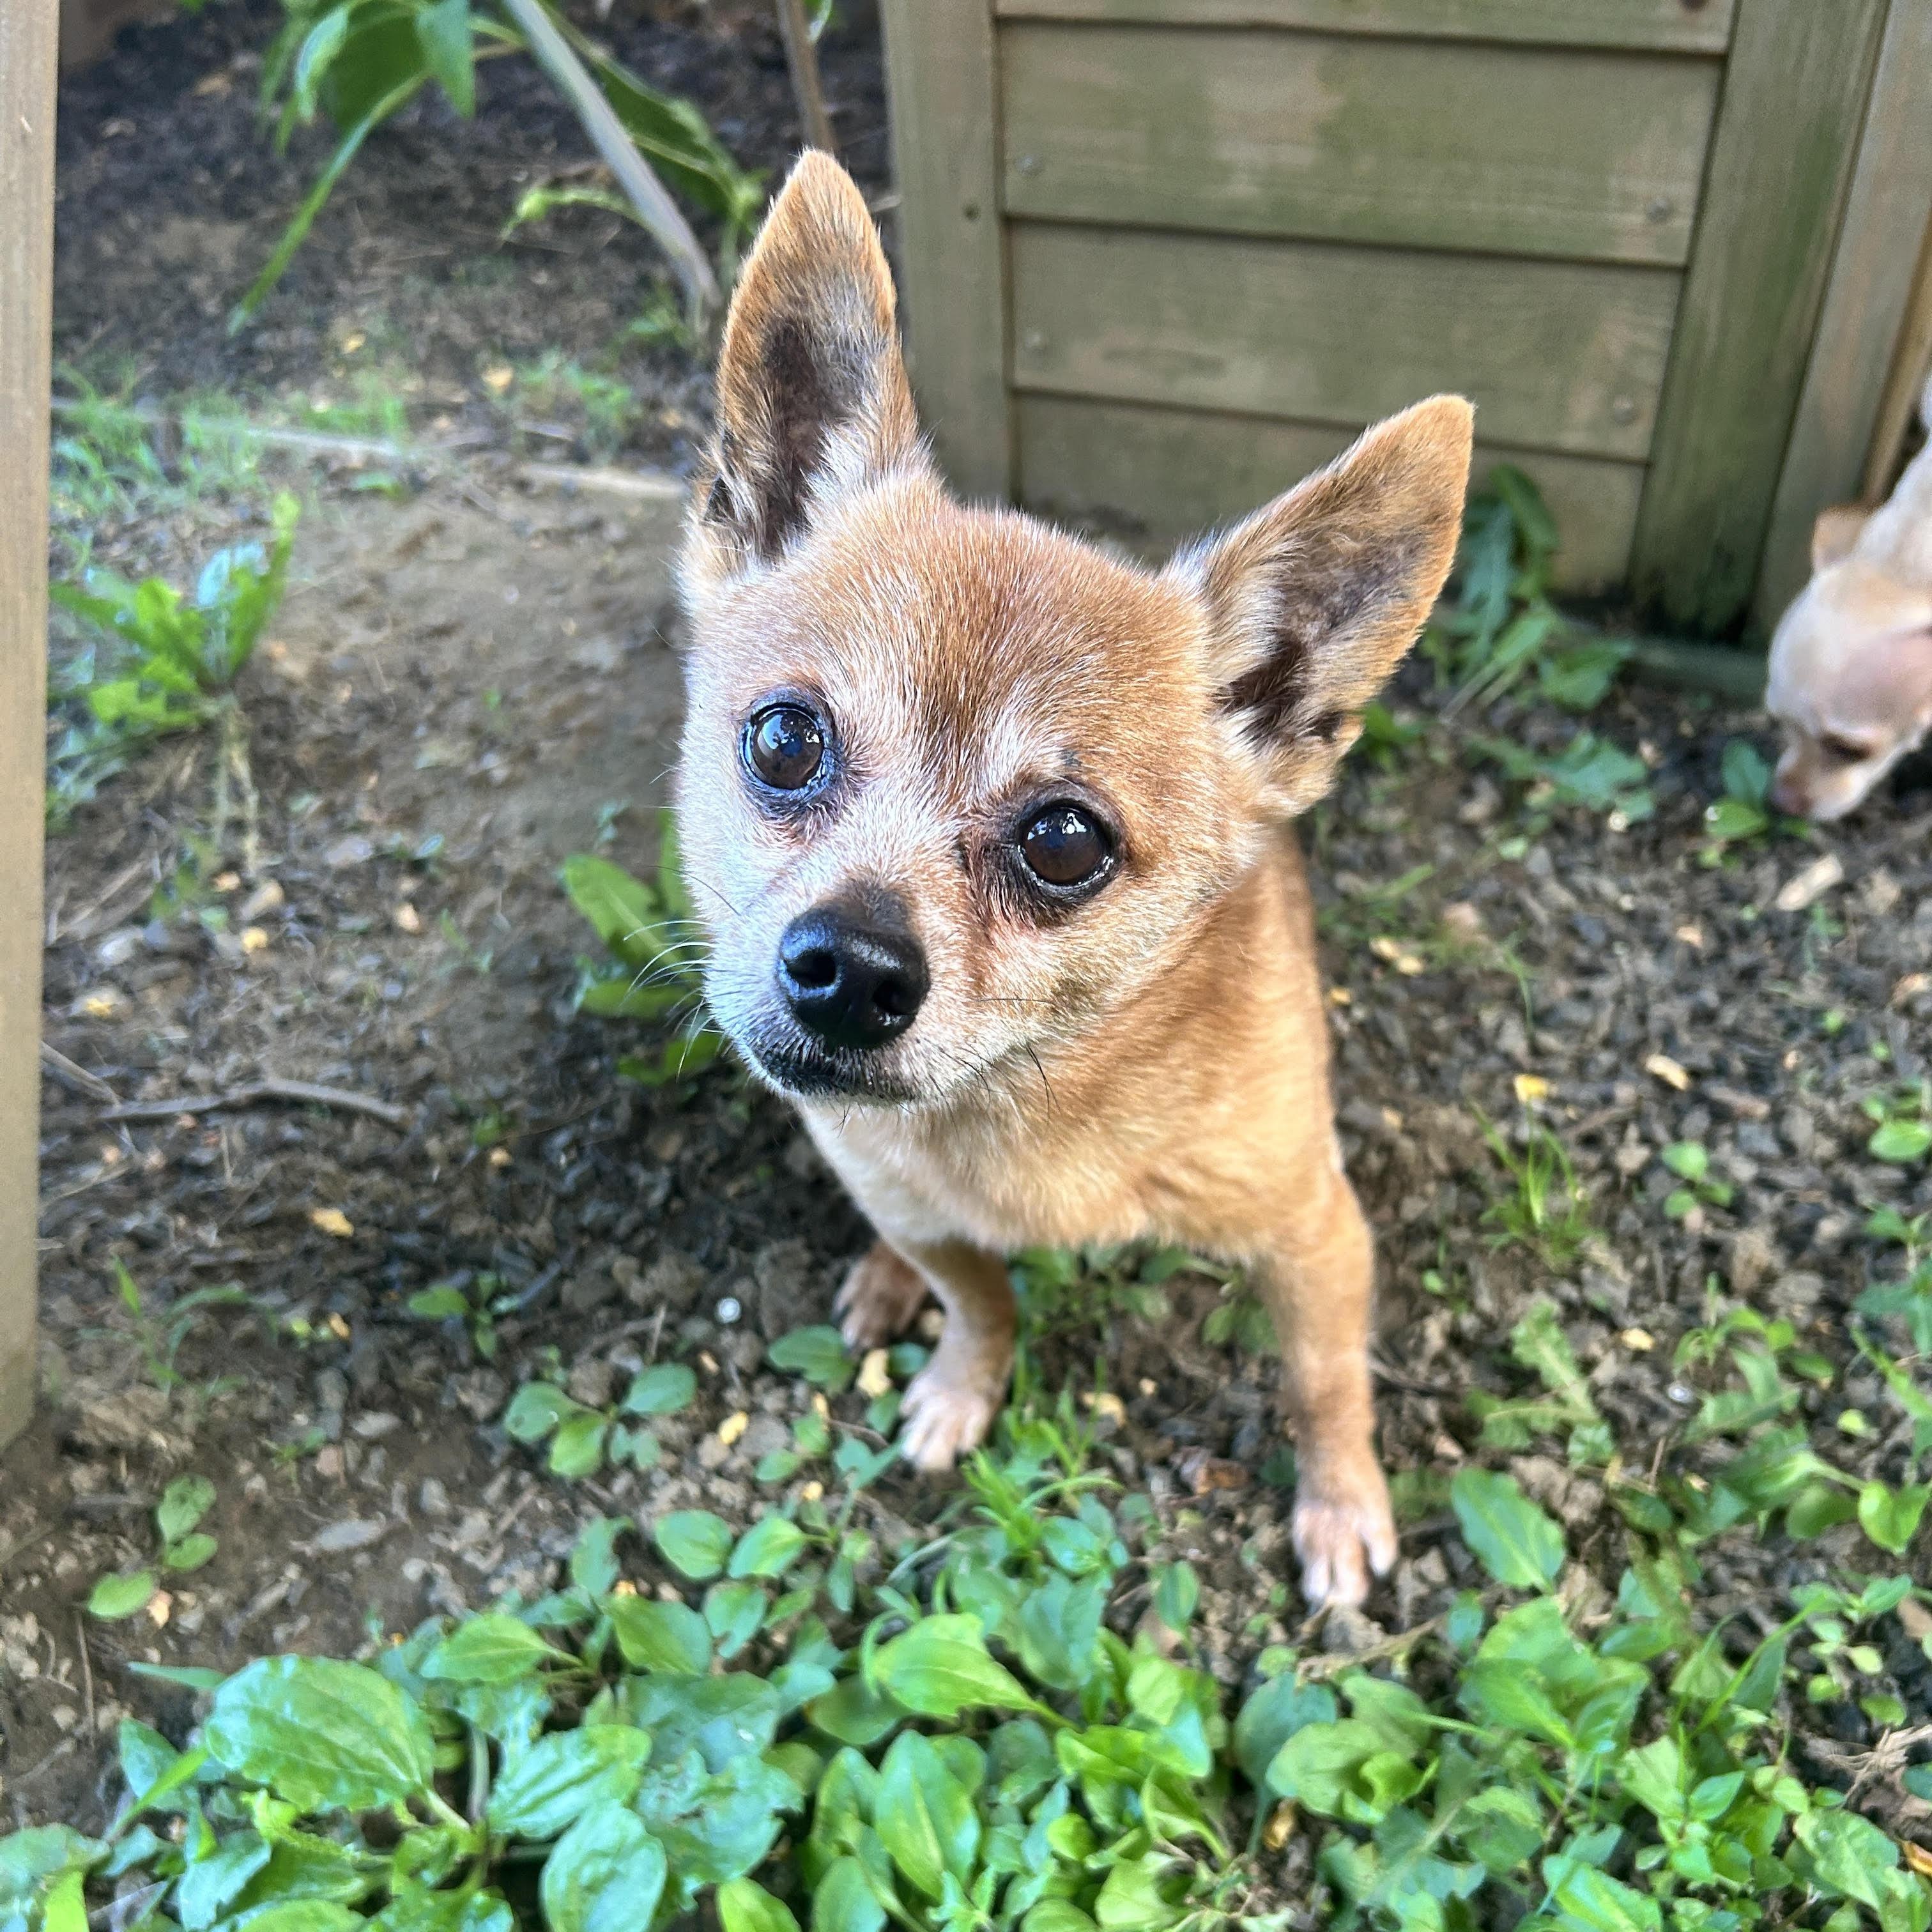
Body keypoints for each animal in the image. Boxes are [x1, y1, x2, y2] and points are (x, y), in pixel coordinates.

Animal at [673, 153, 1472, 1607]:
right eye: (783, 740)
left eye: (1064, 840)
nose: (849, 968)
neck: (1023, 1105)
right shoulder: (915, 1204)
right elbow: (979, 1297)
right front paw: (958, 1378)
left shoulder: (1317, 1235)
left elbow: (1325, 1379)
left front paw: (1339, 1503)